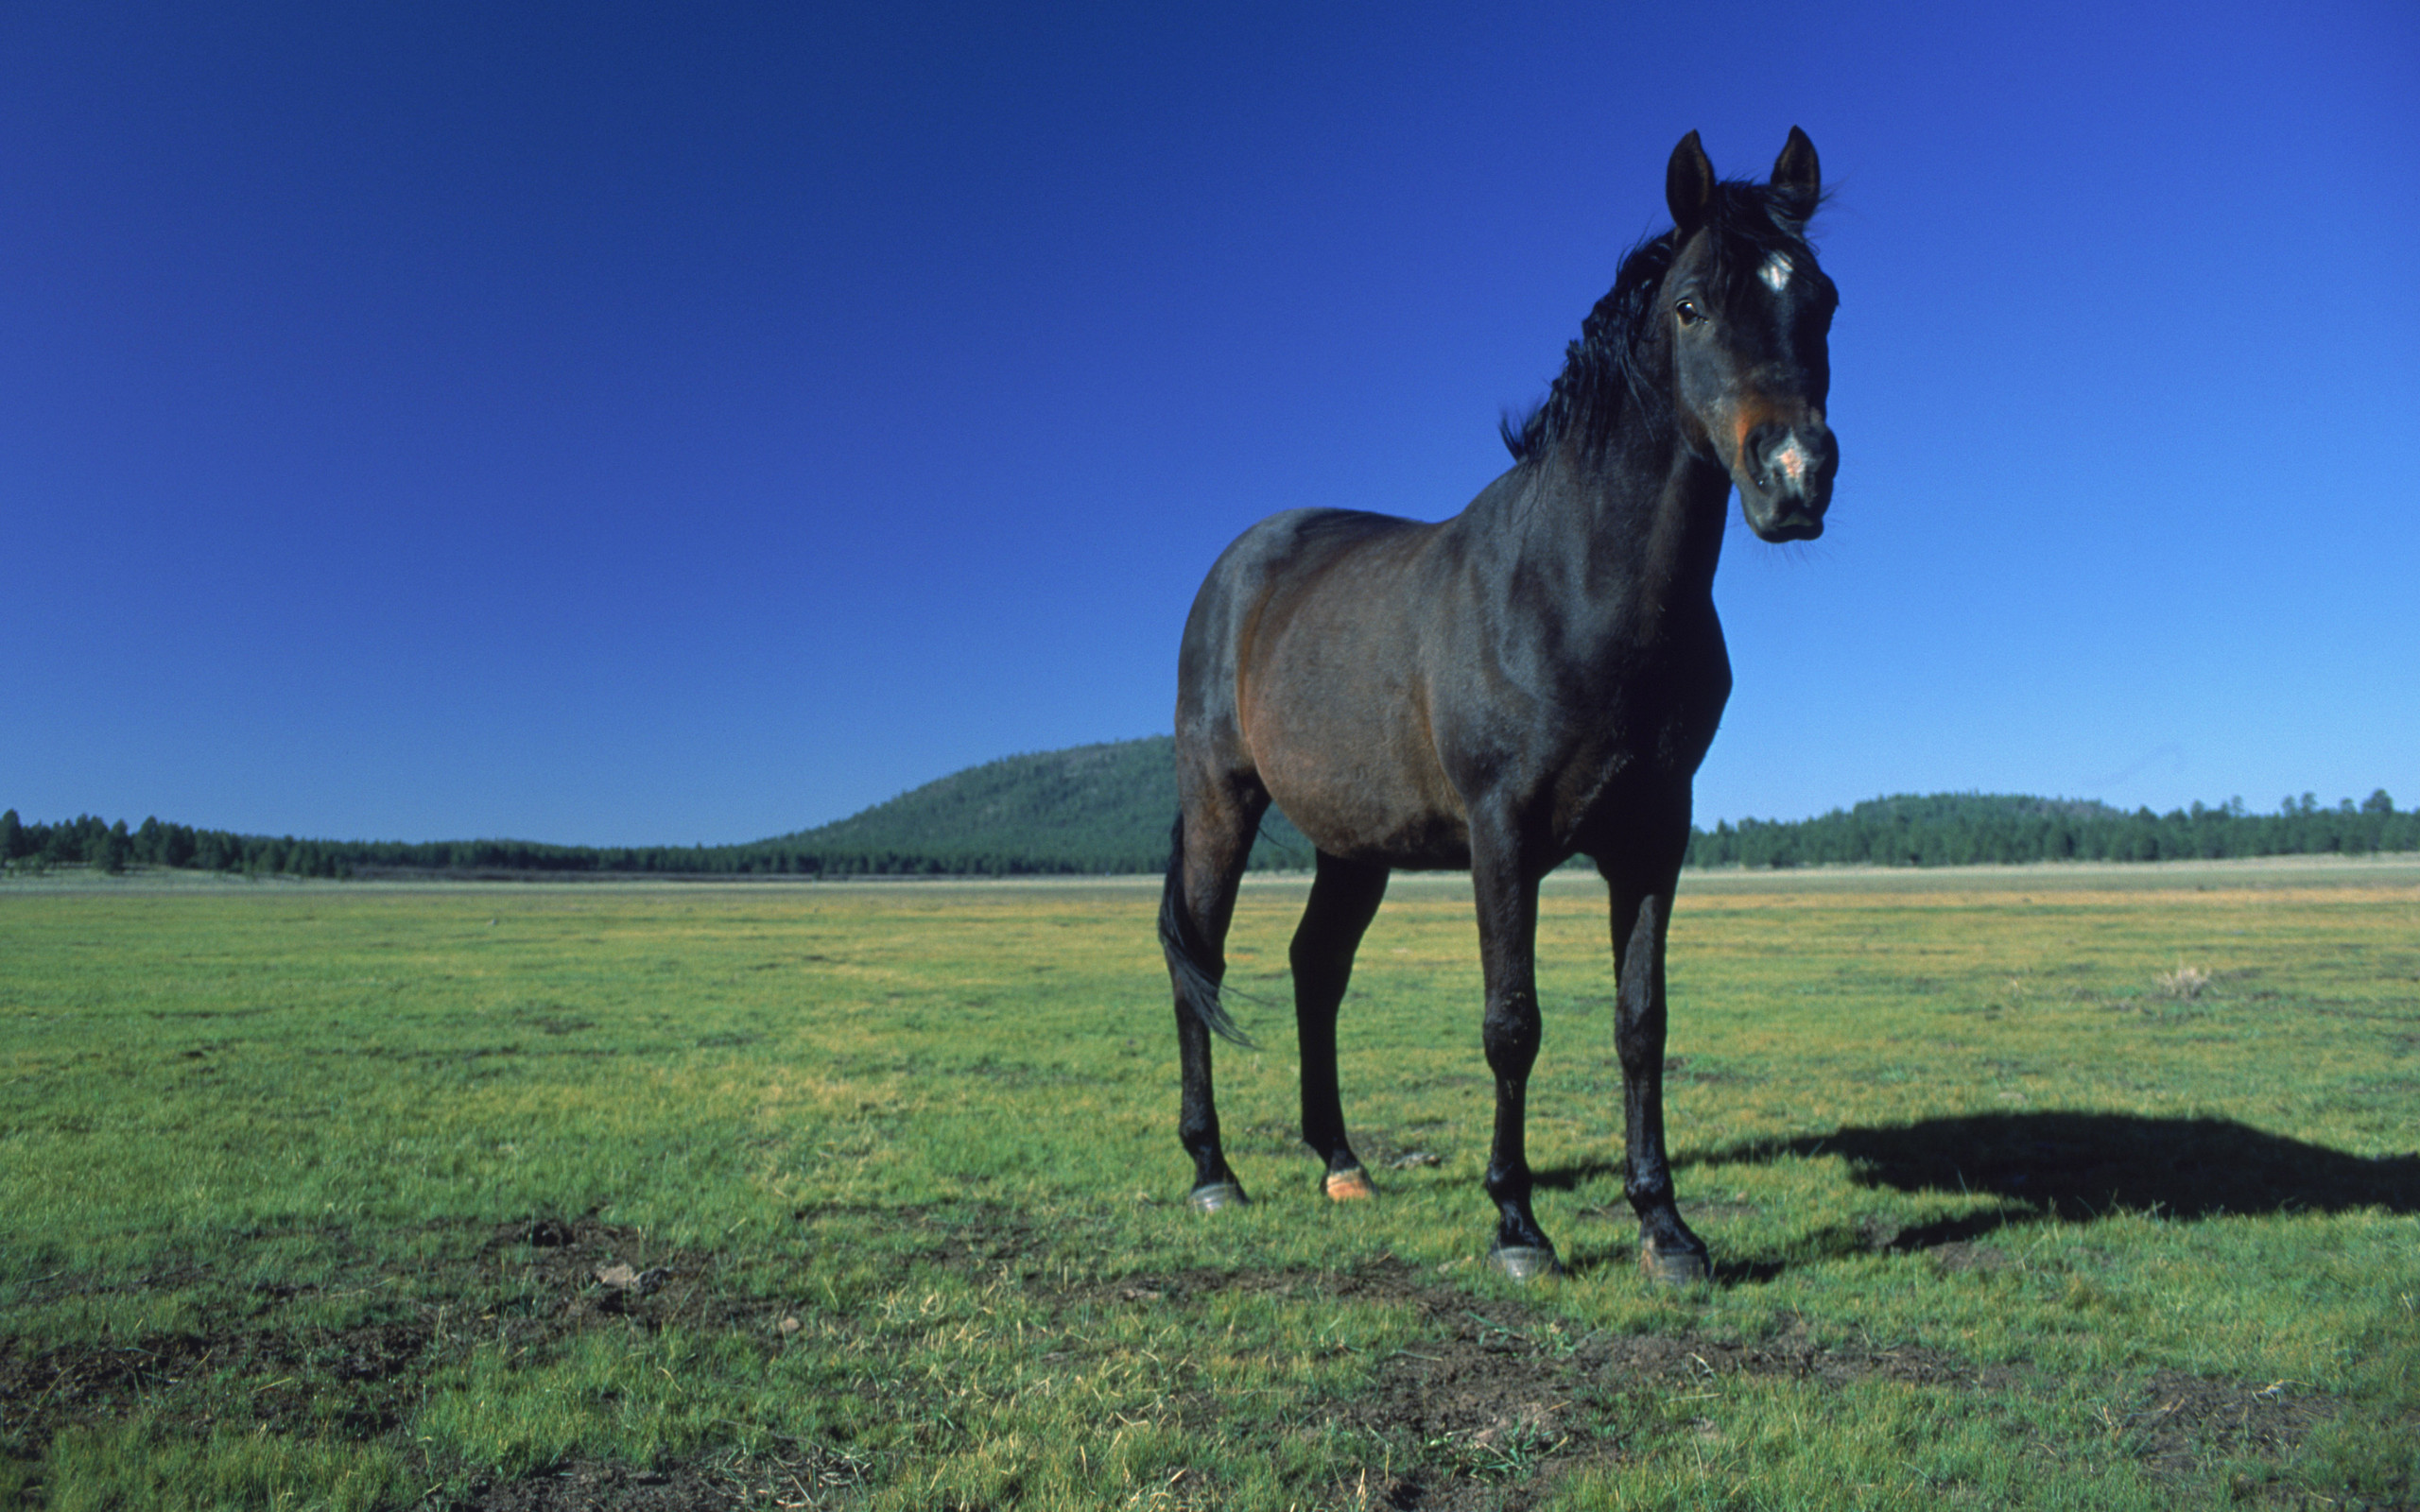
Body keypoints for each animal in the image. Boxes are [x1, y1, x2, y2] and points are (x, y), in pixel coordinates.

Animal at [1151, 132, 1829, 1286]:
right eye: (1692, 306)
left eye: (1821, 298)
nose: (1792, 476)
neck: (1577, 588)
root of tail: (1240, 565)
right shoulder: (1502, 833)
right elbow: (1512, 1021)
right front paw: (1518, 1224)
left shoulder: (1656, 834)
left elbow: (1640, 1022)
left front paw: (1665, 1228)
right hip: (1220, 804)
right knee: (1199, 958)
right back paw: (1212, 1170)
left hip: (1355, 844)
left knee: (1315, 967)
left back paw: (1340, 1162)